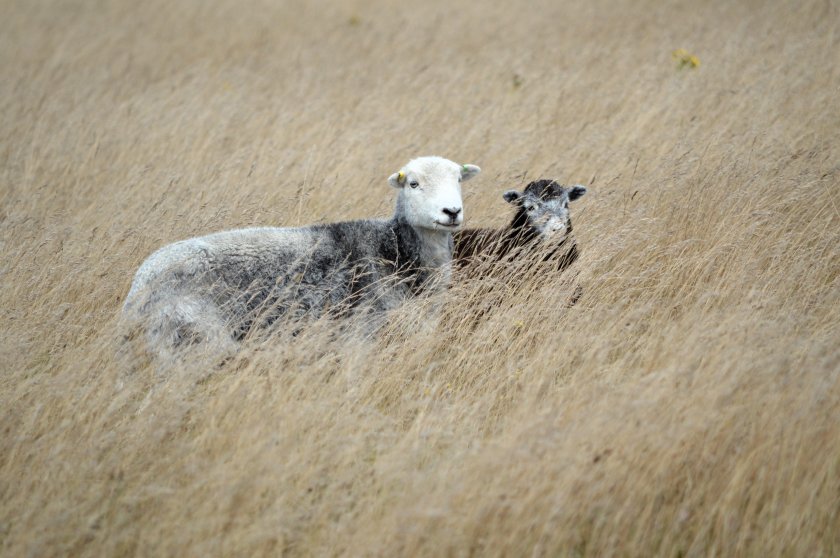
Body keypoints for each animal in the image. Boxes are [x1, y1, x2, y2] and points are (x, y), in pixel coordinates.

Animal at [123, 156, 481, 356]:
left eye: (459, 180)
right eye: (414, 184)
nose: (452, 212)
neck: (394, 249)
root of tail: (139, 284)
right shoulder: (361, 335)